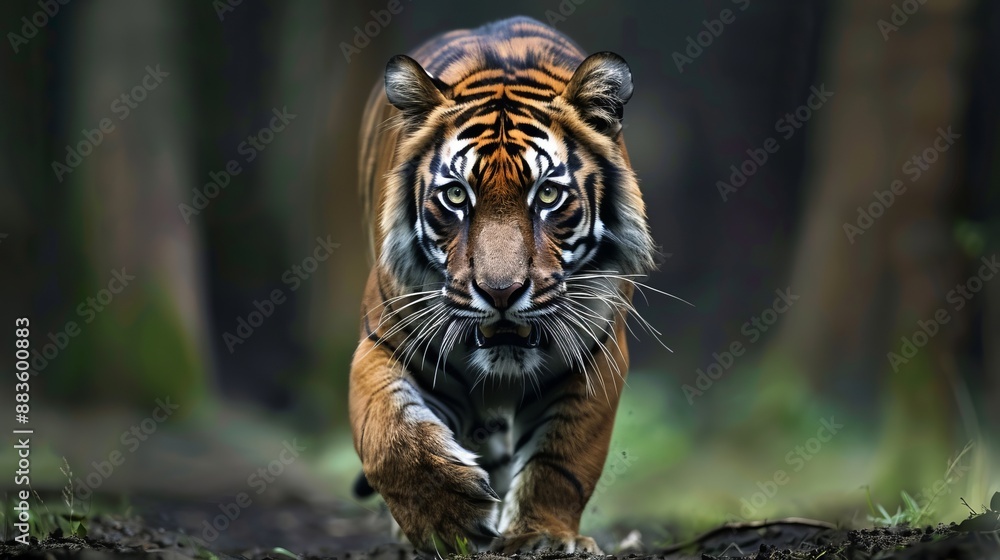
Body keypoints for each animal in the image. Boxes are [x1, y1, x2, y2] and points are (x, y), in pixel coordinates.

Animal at [349, 16, 657, 555]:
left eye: (548, 194)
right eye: (455, 196)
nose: (500, 292)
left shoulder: (597, 355)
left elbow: (562, 459)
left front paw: (542, 537)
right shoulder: (381, 343)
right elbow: (389, 437)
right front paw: (447, 521)